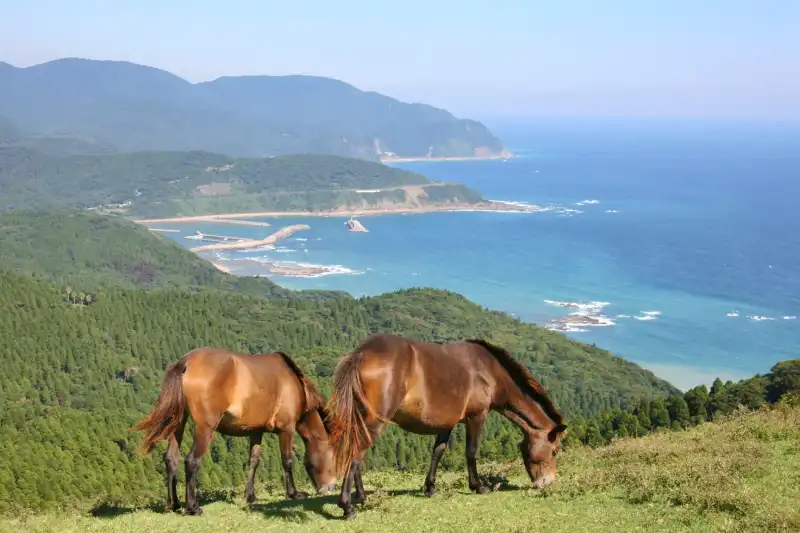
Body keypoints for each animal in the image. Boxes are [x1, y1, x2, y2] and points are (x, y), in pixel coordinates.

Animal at [134, 348, 338, 512]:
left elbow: (253, 461)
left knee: (171, 459)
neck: (293, 383)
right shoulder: (286, 429)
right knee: (191, 460)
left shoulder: (256, 431)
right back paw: (192, 507)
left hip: (178, 422)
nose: (331, 487)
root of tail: (185, 362)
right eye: (334, 457)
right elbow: (287, 461)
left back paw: (173, 504)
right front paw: (294, 494)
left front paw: (250, 496)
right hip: (205, 428)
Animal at [326, 332, 568, 520]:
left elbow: (438, 451)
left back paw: (362, 497)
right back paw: (347, 506)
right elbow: (471, 452)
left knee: (357, 454)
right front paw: (478, 486)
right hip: (375, 421)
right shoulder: (477, 416)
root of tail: (360, 354)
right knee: (356, 453)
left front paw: (430, 488)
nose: (547, 483)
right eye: (555, 450)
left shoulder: (446, 423)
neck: (489, 371)